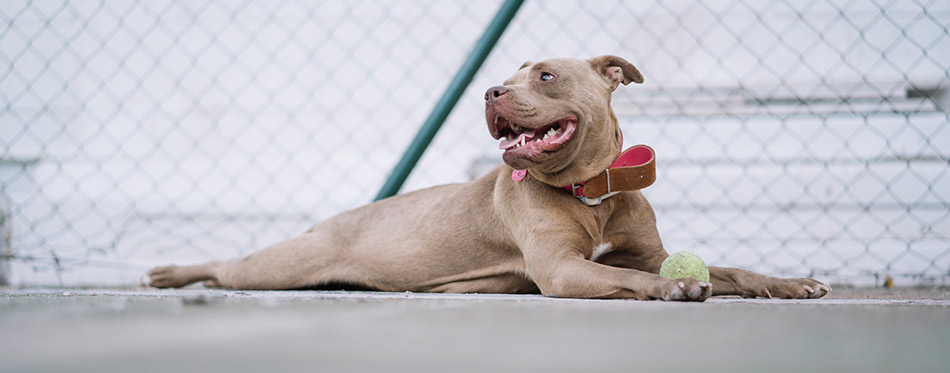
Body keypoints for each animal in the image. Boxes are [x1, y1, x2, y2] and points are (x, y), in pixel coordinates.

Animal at [145, 55, 828, 300]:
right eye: (507, 76)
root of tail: (332, 221)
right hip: (276, 267)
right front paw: (674, 288)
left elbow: (734, 268)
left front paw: (789, 282)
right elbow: (629, 278)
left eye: (546, 76)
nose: (491, 91)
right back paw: (171, 272)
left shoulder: (641, 251)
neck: (592, 192)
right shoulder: (563, 271)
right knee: (227, 266)